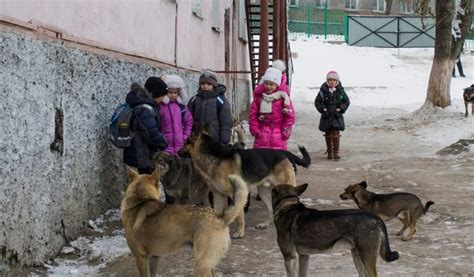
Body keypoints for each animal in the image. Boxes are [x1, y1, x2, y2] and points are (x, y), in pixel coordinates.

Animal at [182, 129, 312, 237]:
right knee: (271, 209)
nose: (178, 151)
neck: (214, 156)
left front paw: (240, 232)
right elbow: (217, 213)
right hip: (264, 192)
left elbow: (239, 216)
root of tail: (285, 153)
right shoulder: (218, 195)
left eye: (185, 142)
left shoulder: (236, 194)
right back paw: (265, 224)